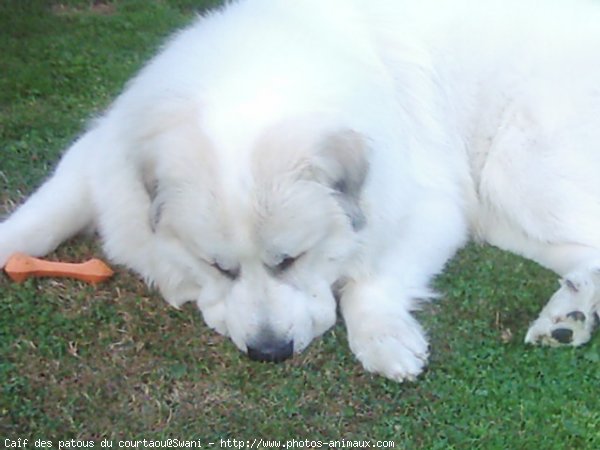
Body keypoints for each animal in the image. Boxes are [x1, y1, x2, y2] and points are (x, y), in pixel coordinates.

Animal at [1, 0, 600, 382]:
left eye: (291, 260)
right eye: (218, 267)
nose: (270, 353)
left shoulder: (426, 207)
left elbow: (368, 283)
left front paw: (384, 340)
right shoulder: (101, 155)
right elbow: (44, 211)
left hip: (519, 170)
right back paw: (569, 316)